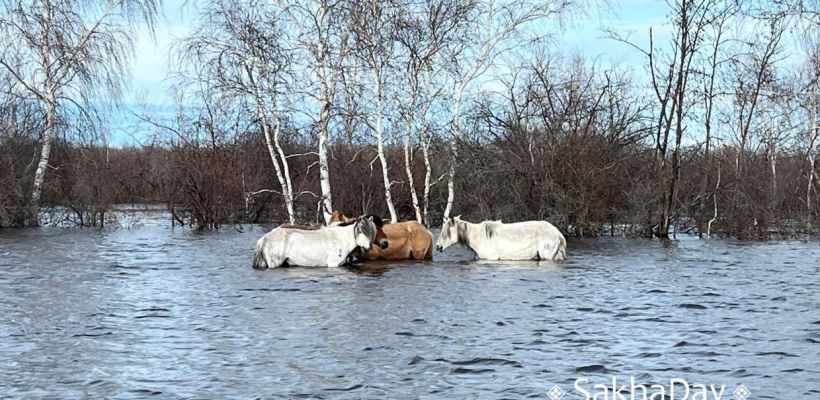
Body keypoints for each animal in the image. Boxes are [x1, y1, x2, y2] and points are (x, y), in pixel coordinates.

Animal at [252, 215, 388, 268]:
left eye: (372, 230)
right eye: (360, 231)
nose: (385, 243)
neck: (342, 239)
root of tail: (263, 238)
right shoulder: (334, 264)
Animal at [435, 216, 566, 261]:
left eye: (445, 232)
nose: (437, 246)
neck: (479, 236)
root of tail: (558, 234)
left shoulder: (491, 258)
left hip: (547, 255)